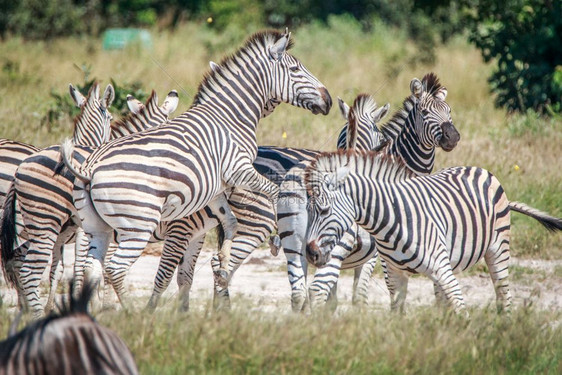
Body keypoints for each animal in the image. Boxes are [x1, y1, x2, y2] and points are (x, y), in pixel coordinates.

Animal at [58, 29, 328, 306]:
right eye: (295, 69)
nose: (328, 99)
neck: (228, 116)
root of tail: (89, 168)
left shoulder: (215, 187)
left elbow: (230, 221)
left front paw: (223, 263)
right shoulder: (239, 169)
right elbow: (274, 192)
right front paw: (274, 238)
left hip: (97, 227)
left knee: (91, 268)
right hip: (138, 224)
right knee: (114, 268)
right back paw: (132, 311)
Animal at [278, 72, 458, 312]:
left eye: (449, 111)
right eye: (425, 112)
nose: (452, 137)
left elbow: (335, 300)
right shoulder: (377, 253)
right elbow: (366, 295)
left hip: (296, 246)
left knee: (298, 293)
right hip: (331, 245)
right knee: (316, 291)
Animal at [304, 151, 560, 312]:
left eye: (324, 210)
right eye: (309, 210)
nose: (310, 254)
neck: (391, 219)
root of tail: (478, 169)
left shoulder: (441, 268)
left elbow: (461, 307)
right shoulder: (395, 276)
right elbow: (397, 315)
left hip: (497, 250)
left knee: (503, 295)